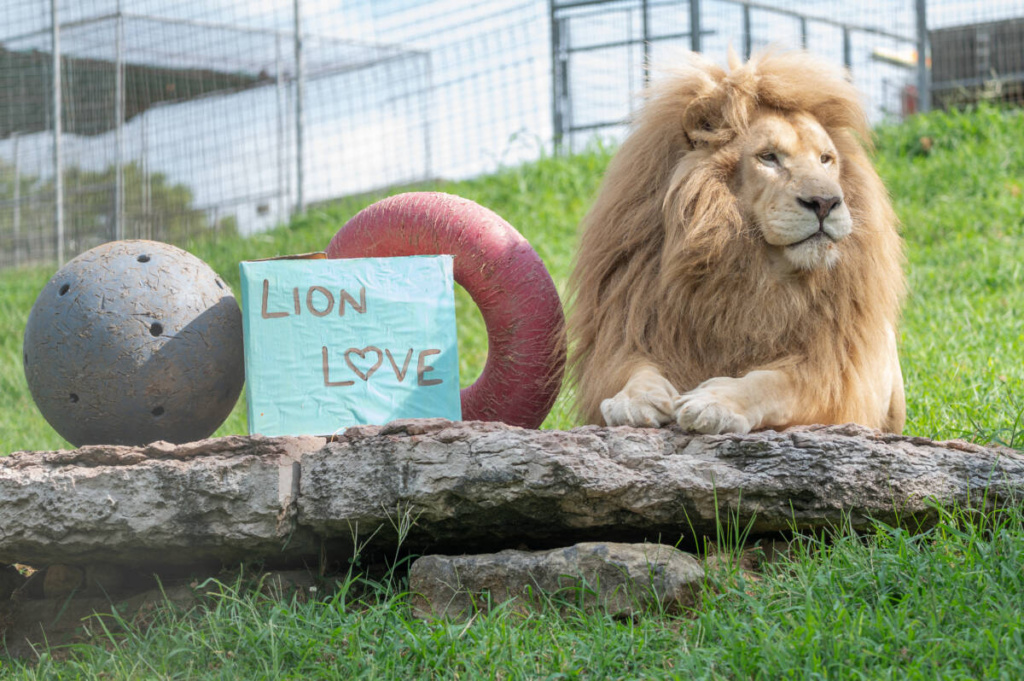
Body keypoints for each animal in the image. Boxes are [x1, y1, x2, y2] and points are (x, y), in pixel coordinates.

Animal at [567, 50, 906, 435]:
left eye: (826, 159)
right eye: (768, 157)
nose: (826, 202)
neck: (750, 266)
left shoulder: (834, 372)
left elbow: (774, 383)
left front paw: (714, 403)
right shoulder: (629, 330)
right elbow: (634, 370)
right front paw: (634, 400)